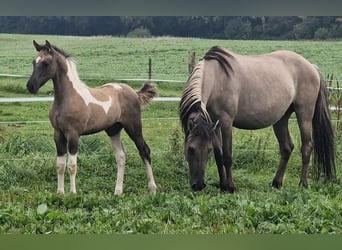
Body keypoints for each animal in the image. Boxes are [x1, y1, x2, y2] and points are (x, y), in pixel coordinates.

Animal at [26, 40, 158, 194]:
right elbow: (60, 165)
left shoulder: (73, 135)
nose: (31, 86)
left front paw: (73, 193)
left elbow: (72, 166)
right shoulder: (58, 134)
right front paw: (60, 193)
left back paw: (152, 189)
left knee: (145, 151)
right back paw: (118, 192)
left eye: (46, 63)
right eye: (34, 62)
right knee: (121, 156)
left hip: (134, 128)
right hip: (113, 130)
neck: (68, 98)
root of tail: (134, 93)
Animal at [180, 46, 336, 192]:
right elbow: (219, 156)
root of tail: (312, 67)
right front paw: (222, 185)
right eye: (190, 149)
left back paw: (302, 184)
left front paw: (230, 187)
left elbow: (227, 156)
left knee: (306, 147)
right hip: (281, 119)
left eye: (206, 150)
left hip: (304, 114)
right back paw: (276, 183)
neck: (217, 78)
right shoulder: (214, 124)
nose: (198, 185)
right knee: (287, 147)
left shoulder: (226, 123)